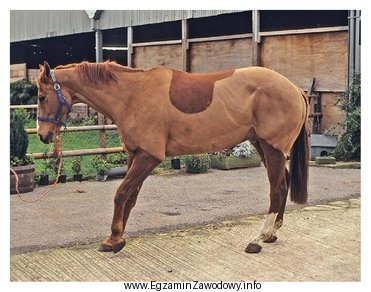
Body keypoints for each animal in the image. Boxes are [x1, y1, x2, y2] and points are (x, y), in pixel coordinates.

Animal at [36, 61, 310, 253]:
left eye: (41, 96)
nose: (43, 135)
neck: (132, 94)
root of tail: (295, 89)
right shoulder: (134, 155)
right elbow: (130, 197)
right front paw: (118, 237)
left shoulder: (148, 157)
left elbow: (121, 193)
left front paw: (113, 239)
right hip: (262, 145)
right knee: (283, 182)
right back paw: (272, 233)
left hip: (272, 148)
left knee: (277, 188)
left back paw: (259, 238)